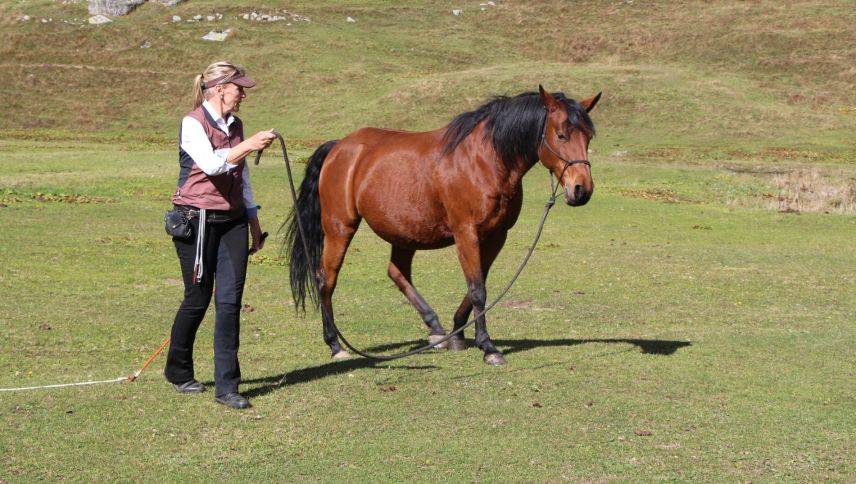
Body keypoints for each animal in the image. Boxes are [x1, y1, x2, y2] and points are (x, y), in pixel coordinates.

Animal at [284, 86, 601, 365]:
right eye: (561, 135)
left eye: (588, 138)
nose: (581, 190)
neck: (485, 160)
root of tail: (339, 148)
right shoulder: (466, 233)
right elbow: (477, 290)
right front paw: (488, 347)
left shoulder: (496, 236)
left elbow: (477, 286)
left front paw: (458, 333)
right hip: (340, 228)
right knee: (326, 279)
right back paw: (335, 344)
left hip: (403, 233)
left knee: (397, 272)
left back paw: (435, 329)